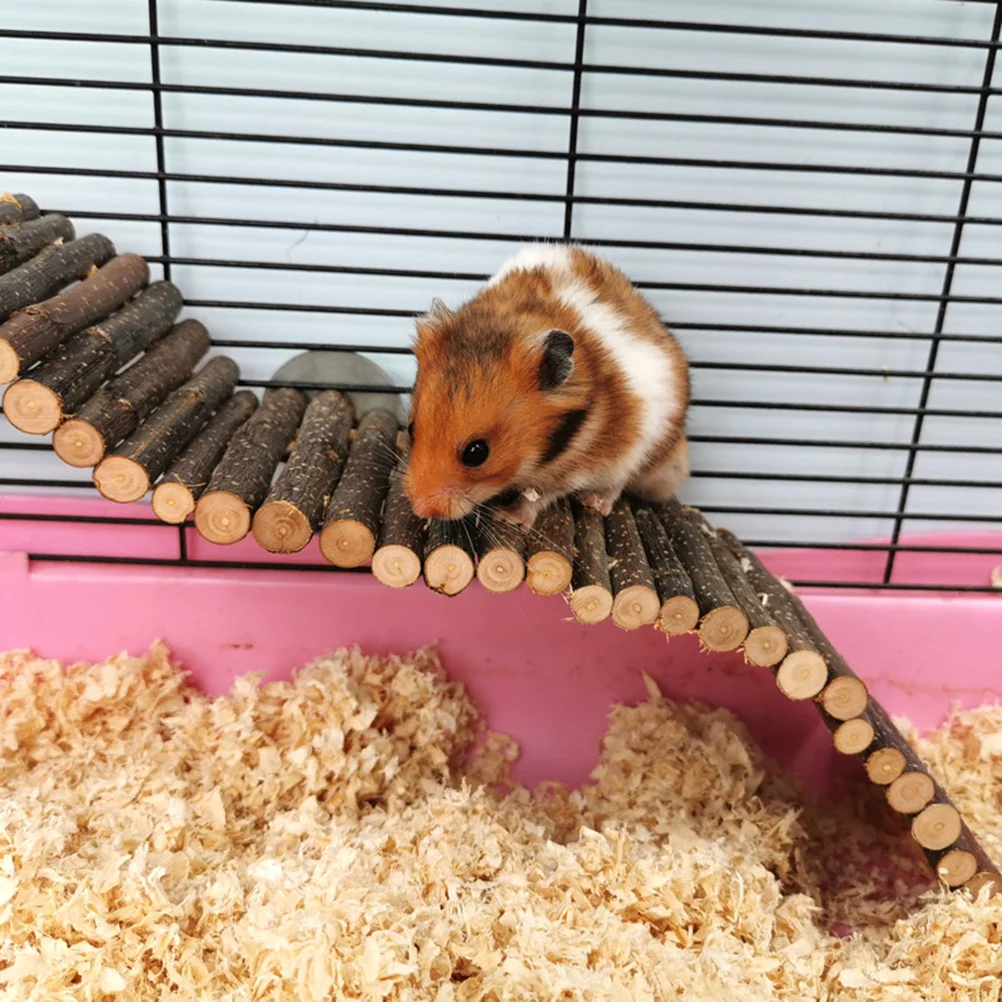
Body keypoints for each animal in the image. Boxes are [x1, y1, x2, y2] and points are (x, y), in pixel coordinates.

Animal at [403, 243, 690, 530]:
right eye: (411, 429)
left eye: (477, 452)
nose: (420, 508)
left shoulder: (576, 470)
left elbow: (539, 495)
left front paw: (507, 517)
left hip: (648, 450)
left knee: (619, 483)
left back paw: (595, 503)